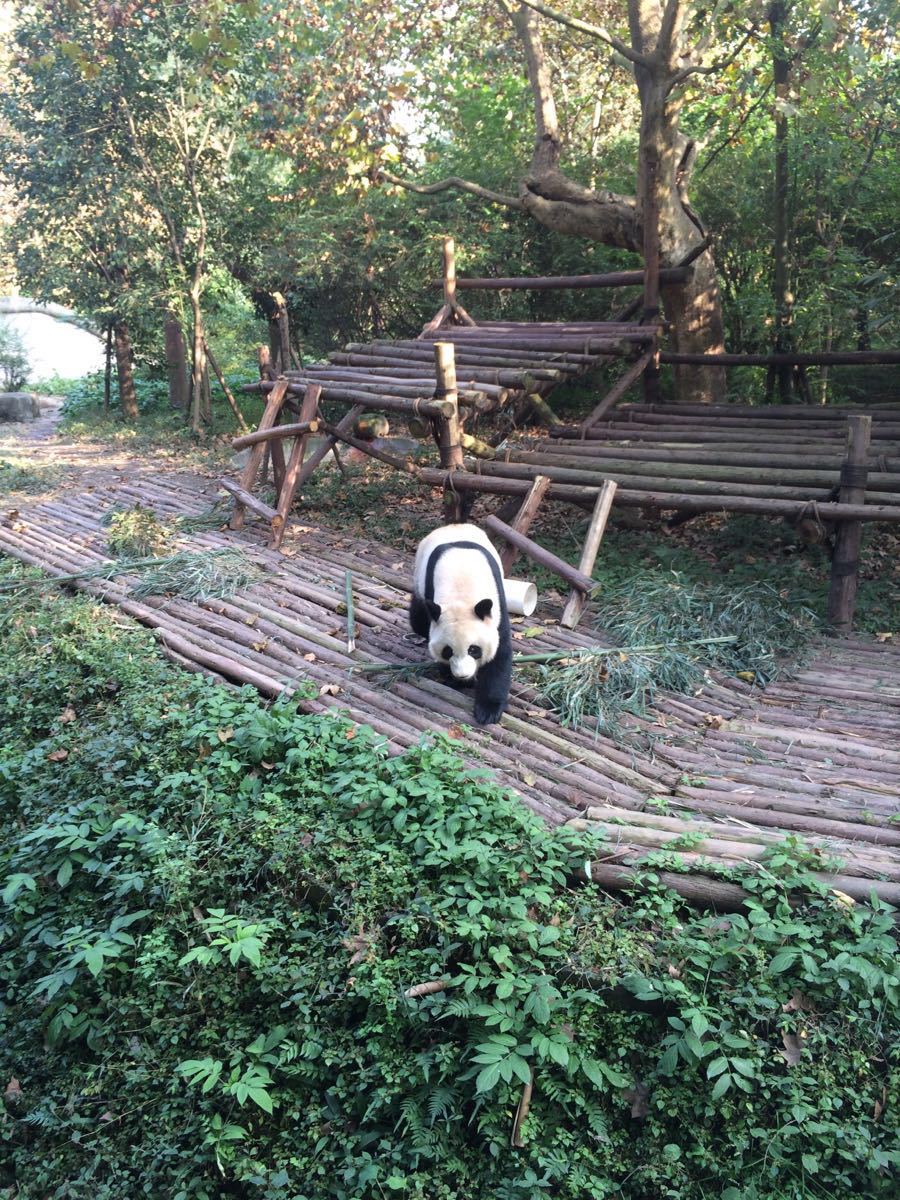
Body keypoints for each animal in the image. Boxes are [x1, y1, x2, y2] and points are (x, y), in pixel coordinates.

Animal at [410, 523, 513, 724]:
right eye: (447, 651)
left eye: (474, 650)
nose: (462, 674)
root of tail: (453, 525)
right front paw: (456, 679)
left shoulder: (497, 607)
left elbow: (500, 654)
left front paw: (488, 710)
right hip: (419, 575)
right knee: (418, 619)